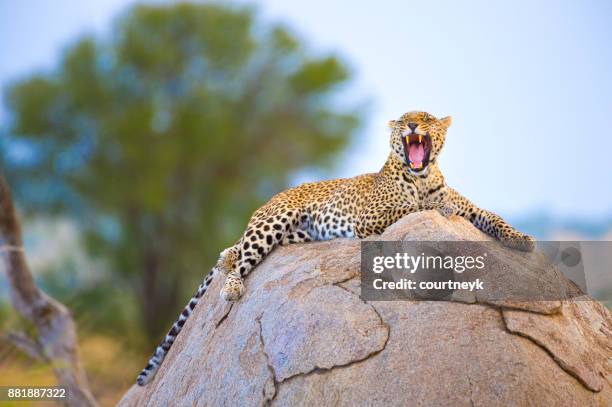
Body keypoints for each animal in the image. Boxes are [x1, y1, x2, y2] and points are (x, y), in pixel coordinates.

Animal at [135, 111, 536, 386]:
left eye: (424, 119)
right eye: (404, 121)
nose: (410, 127)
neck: (421, 176)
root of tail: (272, 197)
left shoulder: (472, 210)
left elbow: (491, 216)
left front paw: (521, 239)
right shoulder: (371, 218)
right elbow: (413, 207)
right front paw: (437, 207)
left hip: (294, 235)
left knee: (236, 251)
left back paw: (226, 260)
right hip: (273, 223)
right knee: (241, 258)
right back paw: (232, 285)